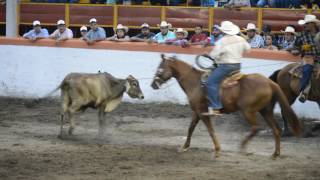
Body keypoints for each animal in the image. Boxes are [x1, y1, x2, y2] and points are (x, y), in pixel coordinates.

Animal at [151, 54, 302, 158]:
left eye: (159, 69)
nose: (153, 85)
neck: (195, 82)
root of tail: (270, 83)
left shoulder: (202, 111)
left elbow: (210, 130)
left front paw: (217, 150)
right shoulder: (197, 111)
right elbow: (190, 128)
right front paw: (184, 147)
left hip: (248, 111)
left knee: (256, 127)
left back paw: (242, 147)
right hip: (266, 111)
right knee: (276, 130)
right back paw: (275, 153)